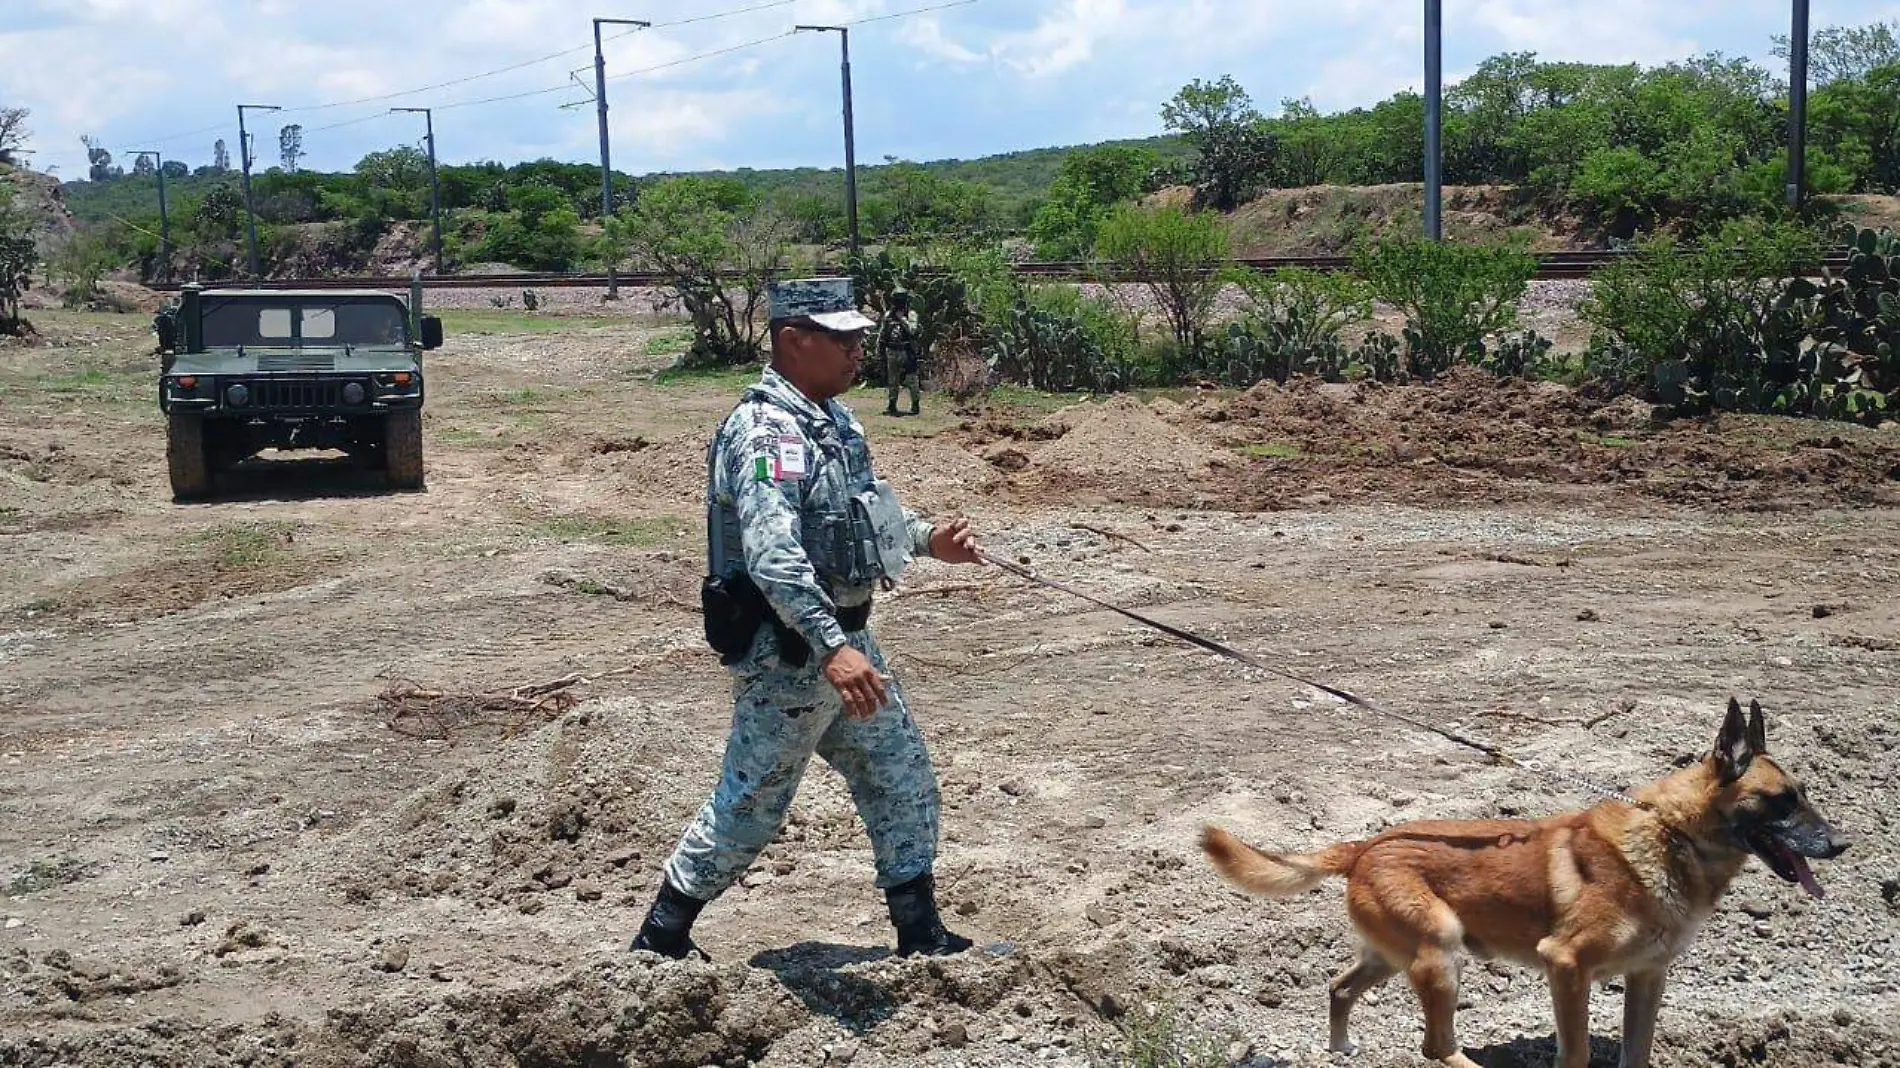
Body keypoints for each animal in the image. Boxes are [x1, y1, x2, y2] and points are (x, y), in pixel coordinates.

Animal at [1208, 699, 1846, 1064]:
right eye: (1782, 802)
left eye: (1805, 795)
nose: (1841, 844)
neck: (1673, 835)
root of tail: (1367, 843)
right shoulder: (1566, 966)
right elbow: (1577, 1053)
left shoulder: (1647, 977)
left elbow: (1636, 1053)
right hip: (1441, 951)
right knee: (1436, 1047)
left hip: (1395, 955)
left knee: (1341, 989)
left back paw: (1341, 1044)